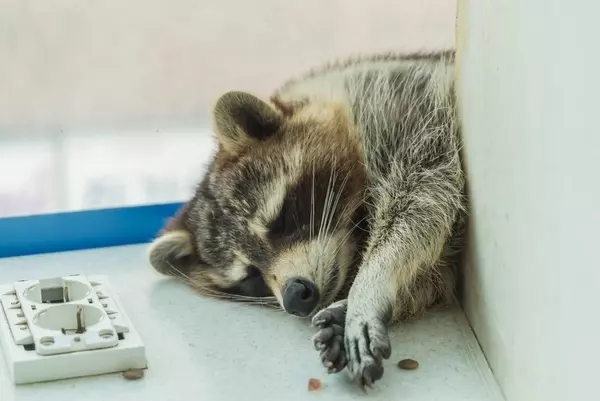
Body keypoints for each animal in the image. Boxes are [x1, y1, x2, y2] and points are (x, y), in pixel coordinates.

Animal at [148, 50, 466, 388]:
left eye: (282, 220)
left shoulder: (410, 113)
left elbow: (425, 199)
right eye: (250, 278)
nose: (294, 297)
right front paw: (354, 303)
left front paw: (370, 283)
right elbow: (429, 275)